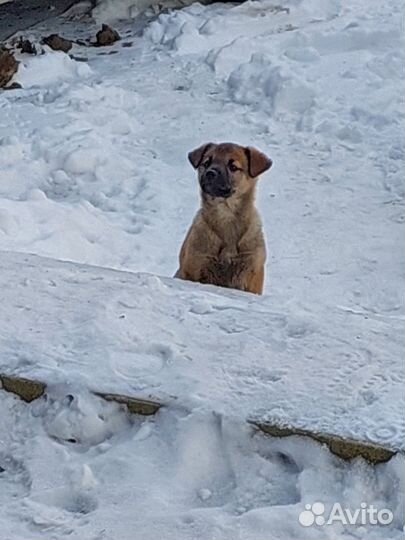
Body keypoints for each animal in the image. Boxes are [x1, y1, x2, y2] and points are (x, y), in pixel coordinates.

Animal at [174, 142, 272, 296]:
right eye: (206, 163)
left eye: (233, 167)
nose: (210, 173)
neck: (226, 214)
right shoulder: (196, 264)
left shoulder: (252, 273)